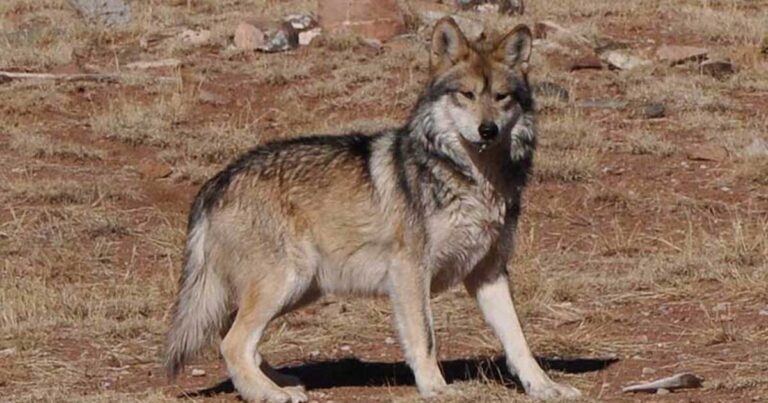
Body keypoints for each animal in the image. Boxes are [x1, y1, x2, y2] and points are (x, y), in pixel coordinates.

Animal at [164, 17, 581, 402]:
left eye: (502, 97)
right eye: (466, 94)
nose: (488, 130)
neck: (472, 179)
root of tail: (216, 182)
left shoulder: (489, 273)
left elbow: (519, 341)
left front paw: (545, 387)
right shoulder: (410, 272)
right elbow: (426, 338)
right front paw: (437, 389)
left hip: (299, 288)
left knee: (232, 337)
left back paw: (279, 382)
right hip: (286, 281)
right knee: (233, 343)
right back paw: (272, 394)